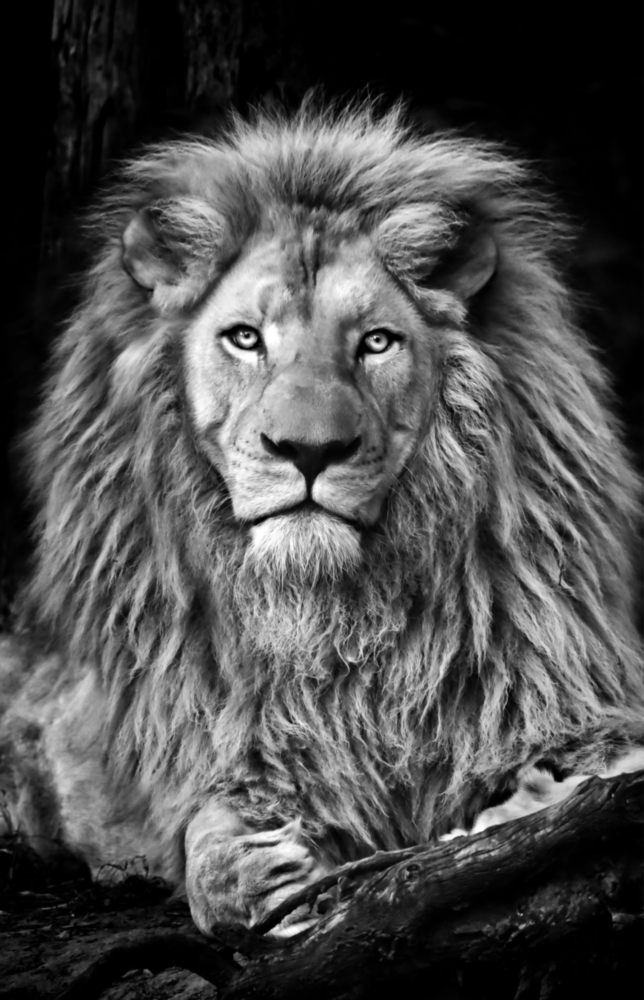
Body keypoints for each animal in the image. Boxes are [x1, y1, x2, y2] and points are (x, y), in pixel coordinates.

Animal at [1, 100, 643, 937]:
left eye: (376, 343)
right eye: (245, 338)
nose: (310, 450)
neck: (334, 623)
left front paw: (520, 806)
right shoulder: (223, 750)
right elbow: (210, 852)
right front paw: (262, 872)